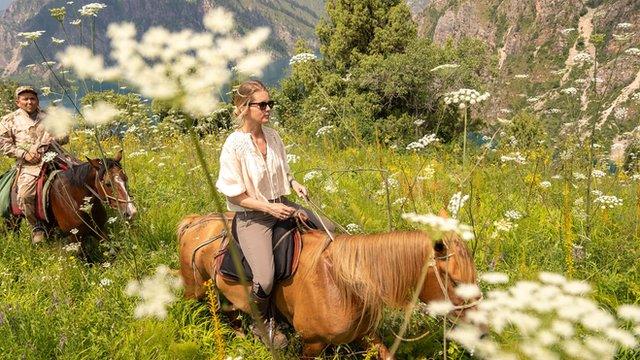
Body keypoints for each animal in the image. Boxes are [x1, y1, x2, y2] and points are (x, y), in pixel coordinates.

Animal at [178, 214, 478, 358]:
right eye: (454, 280)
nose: (480, 329)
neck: (343, 284)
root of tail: (195, 221)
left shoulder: (367, 335)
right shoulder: (312, 344)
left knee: (231, 316)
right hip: (195, 289)